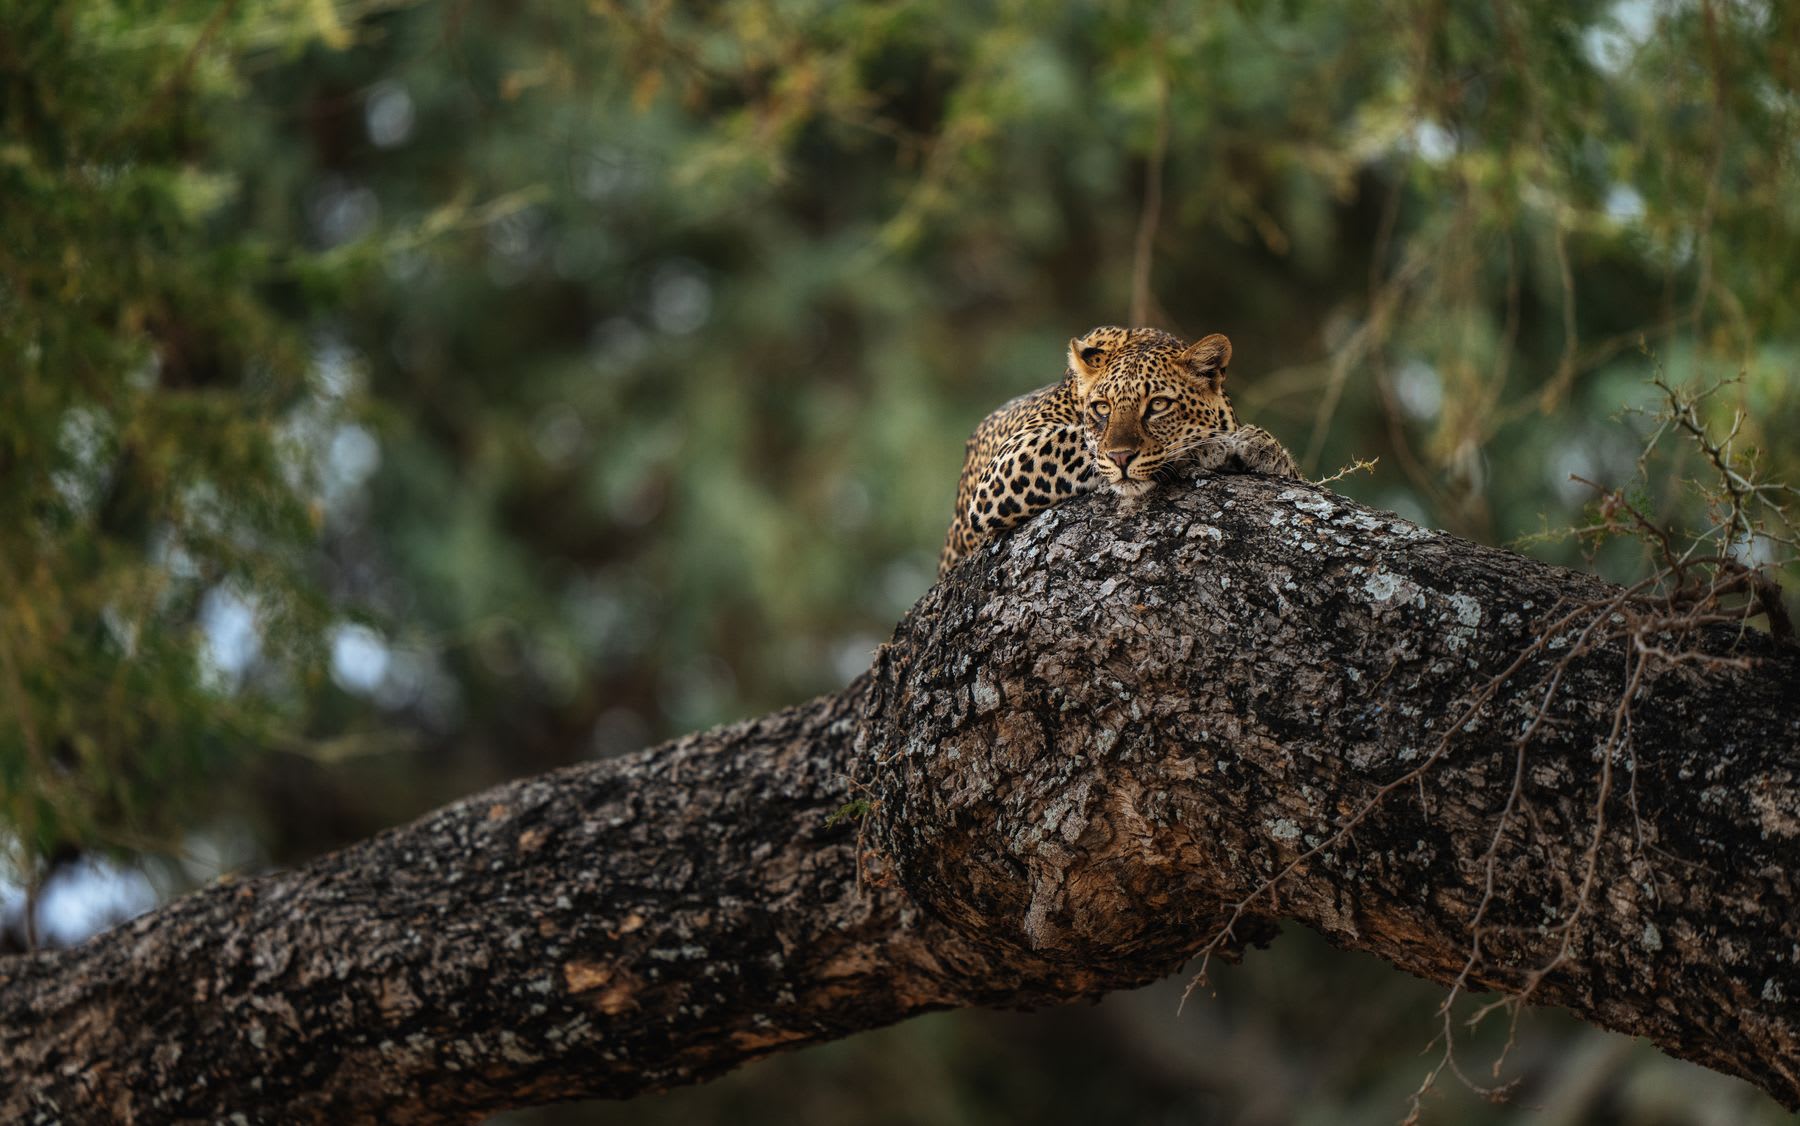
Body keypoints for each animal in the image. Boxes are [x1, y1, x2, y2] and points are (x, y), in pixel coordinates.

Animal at [938, 325, 1300, 576]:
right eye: (1102, 407)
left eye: (1158, 404)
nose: (1122, 458)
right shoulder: (1009, 461)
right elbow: (1084, 443)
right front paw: (1212, 444)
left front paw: (1264, 449)